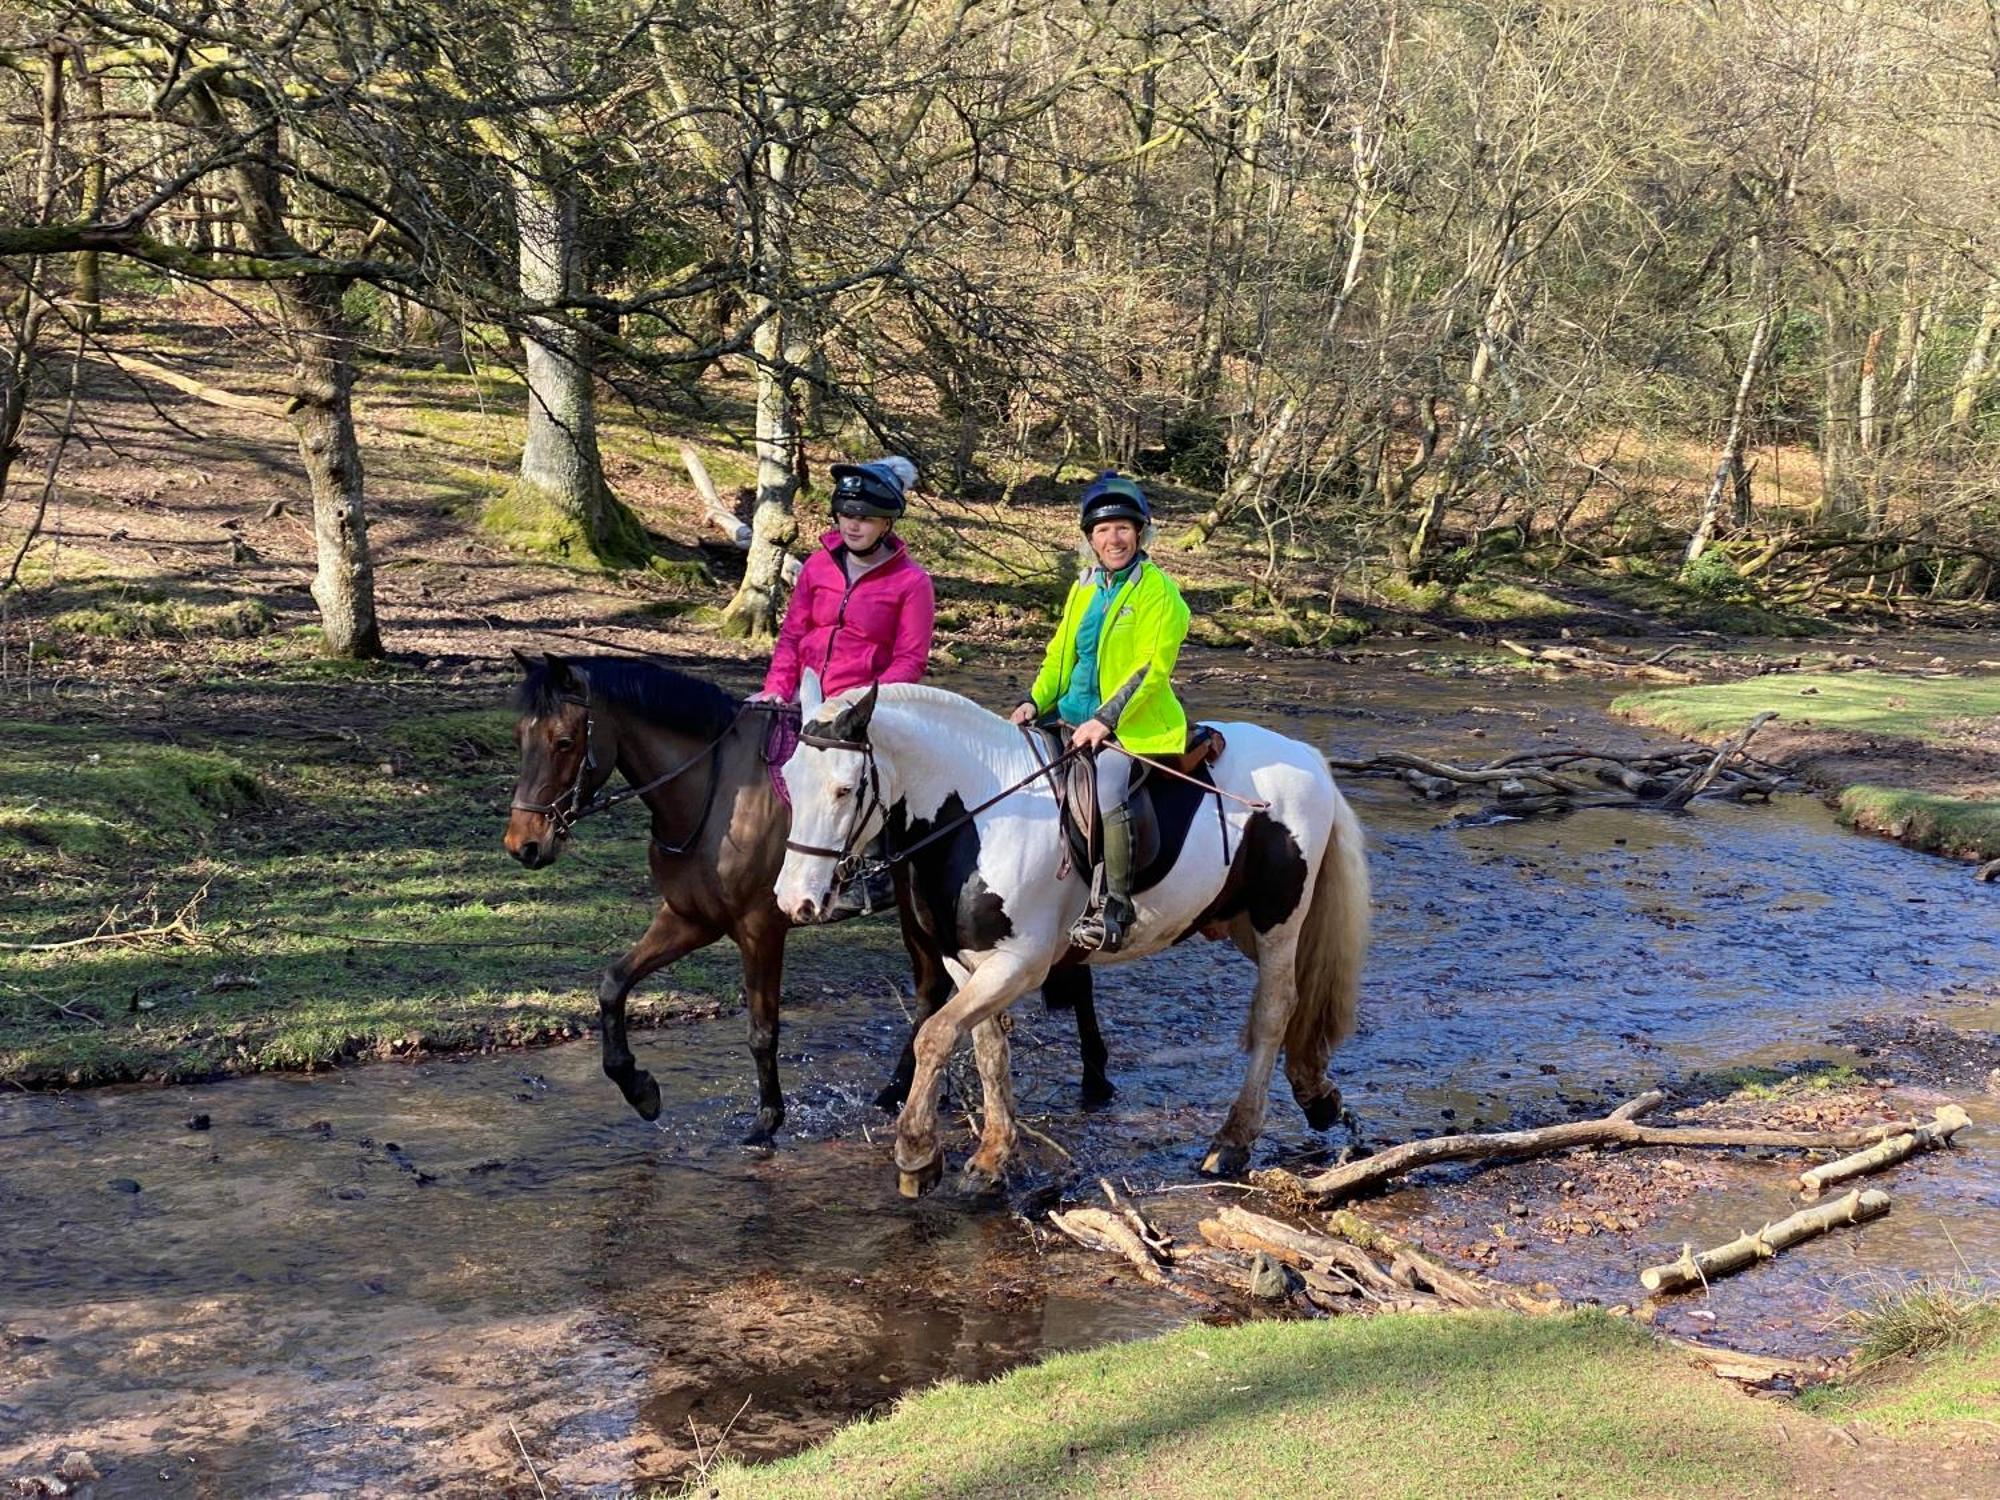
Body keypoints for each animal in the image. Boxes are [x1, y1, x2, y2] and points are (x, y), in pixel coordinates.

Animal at [494, 652, 1104, 1144]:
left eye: (565, 741)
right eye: (519, 738)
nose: (524, 844)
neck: (715, 797)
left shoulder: (760, 928)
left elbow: (763, 1029)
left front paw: (767, 1120)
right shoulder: (689, 918)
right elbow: (613, 983)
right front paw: (639, 1088)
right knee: (943, 989)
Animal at [772, 680, 1368, 1200]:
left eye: (845, 789)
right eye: (789, 780)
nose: (794, 900)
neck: (981, 814)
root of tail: (1306, 758)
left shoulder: (1020, 961)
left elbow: (935, 1036)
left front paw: (918, 1154)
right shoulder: (969, 961)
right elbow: (987, 1048)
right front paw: (992, 1157)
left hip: (1277, 923)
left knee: (1275, 1011)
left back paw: (1234, 1140)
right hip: (1237, 920)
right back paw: (1316, 1094)